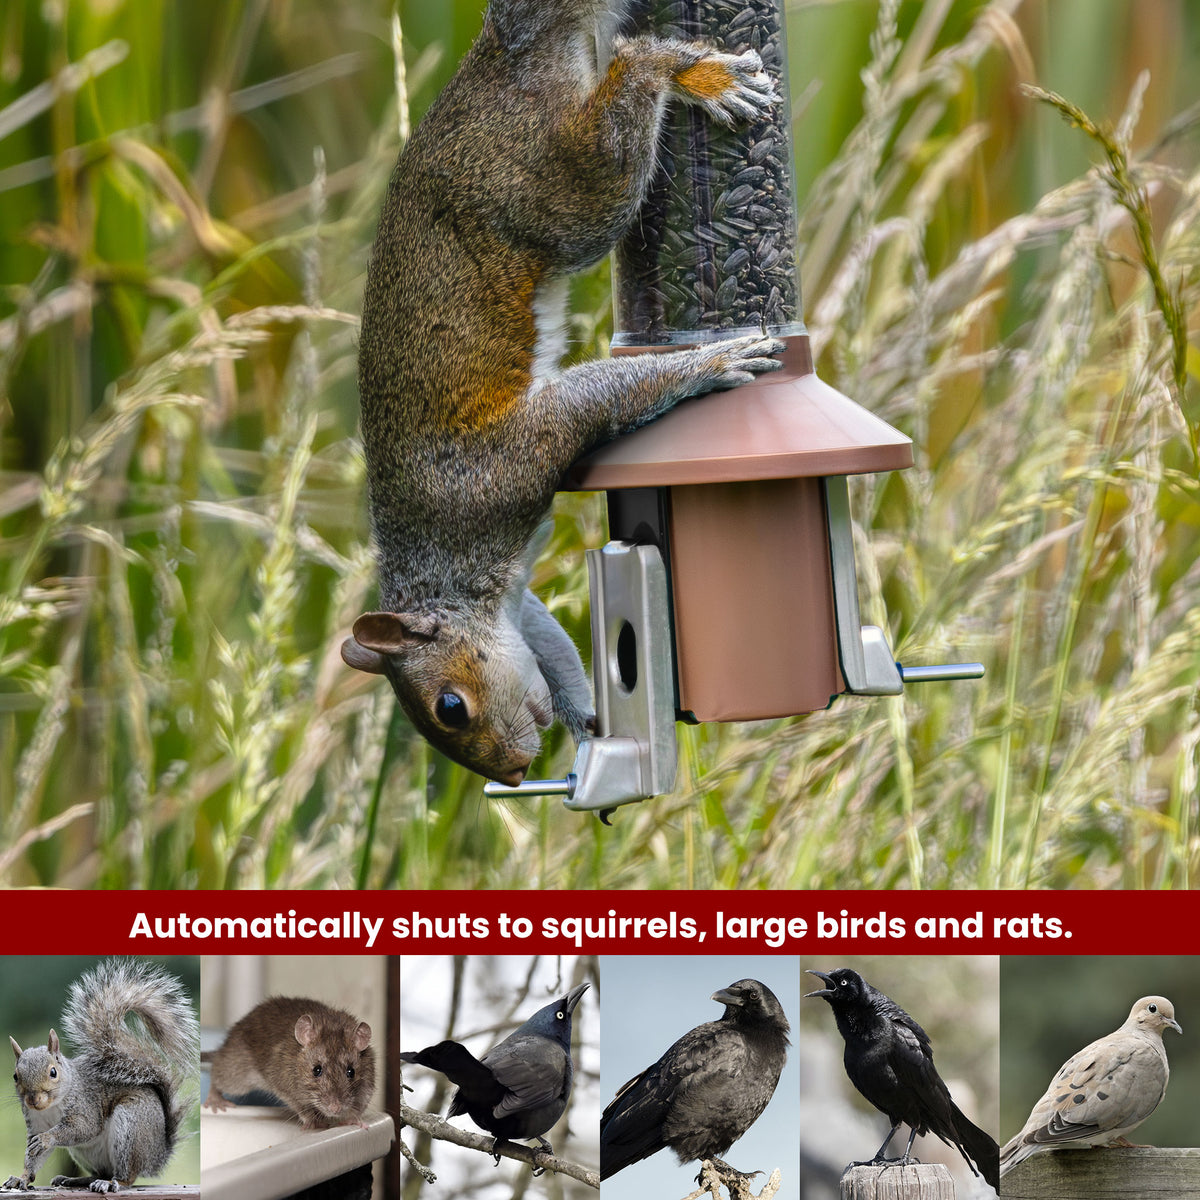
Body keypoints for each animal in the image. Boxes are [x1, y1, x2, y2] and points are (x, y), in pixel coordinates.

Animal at [4, 958, 198, 1194]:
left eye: (53, 1072)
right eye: (15, 1076)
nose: (33, 1100)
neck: (51, 1106)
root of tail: (157, 1155)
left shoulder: (85, 1105)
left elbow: (83, 1128)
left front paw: (47, 1138)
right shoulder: (35, 1122)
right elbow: (33, 1157)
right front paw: (21, 1178)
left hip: (131, 1127)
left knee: (127, 1175)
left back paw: (112, 1182)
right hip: (85, 1153)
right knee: (102, 1171)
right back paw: (76, 1180)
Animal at [343, 0, 785, 785]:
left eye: (449, 707)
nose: (514, 773)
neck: (443, 563)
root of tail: (502, 58)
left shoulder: (504, 467)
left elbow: (597, 399)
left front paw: (712, 361)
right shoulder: (520, 608)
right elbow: (552, 647)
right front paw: (588, 723)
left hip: (550, 189)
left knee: (623, 101)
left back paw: (687, 72)